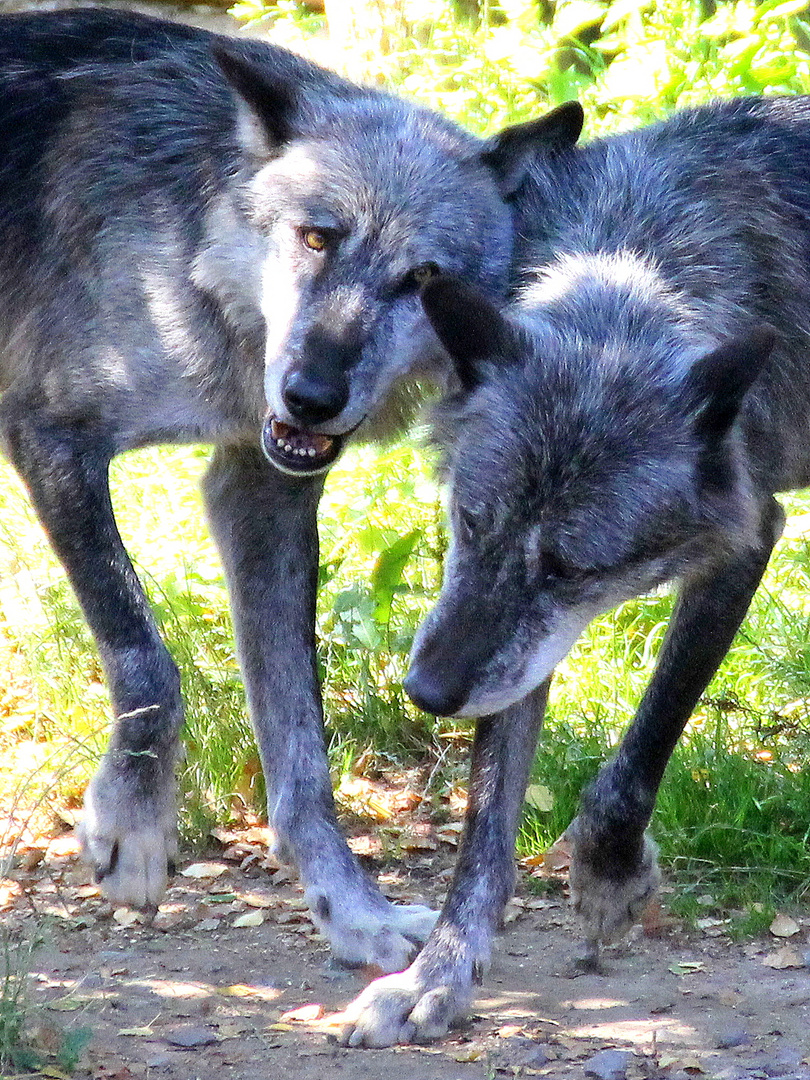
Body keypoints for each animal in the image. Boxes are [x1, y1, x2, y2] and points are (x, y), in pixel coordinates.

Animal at [0, 4, 583, 976]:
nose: (313, 395)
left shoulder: (261, 493)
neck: (184, 263)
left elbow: (301, 748)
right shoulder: (51, 439)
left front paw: (353, 913)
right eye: (318, 237)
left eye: (421, 279)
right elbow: (145, 655)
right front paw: (134, 828)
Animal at [339, 95, 810, 1045]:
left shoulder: (747, 533)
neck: (642, 257)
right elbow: (486, 824)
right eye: (469, 521)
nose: (427, 695)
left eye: (569, 568)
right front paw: (436, 974)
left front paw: (609, 873)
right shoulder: (500, 648)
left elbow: (649, 733)